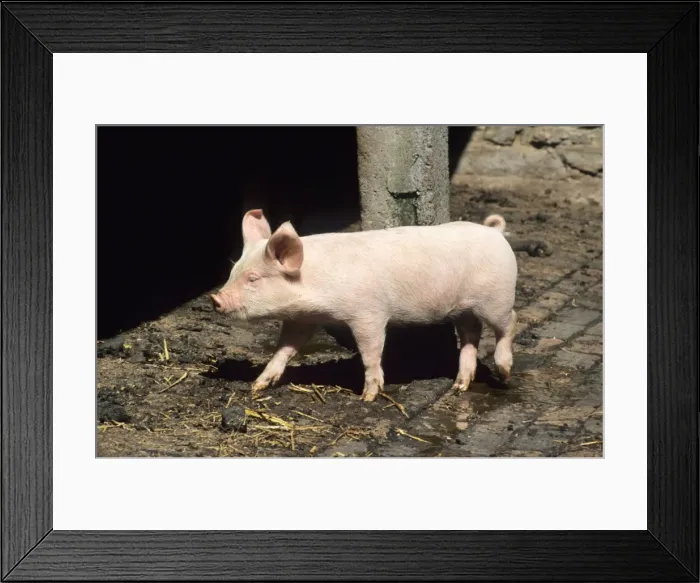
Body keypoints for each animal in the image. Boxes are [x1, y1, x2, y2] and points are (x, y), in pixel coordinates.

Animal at [210, 210, 518, 402]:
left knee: (509, 323)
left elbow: (370, 352)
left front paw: (367, 397)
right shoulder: (303, 318)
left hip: (497, 298)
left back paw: (504, 374)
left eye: (253, 278)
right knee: (470, 334)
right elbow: (285, 349)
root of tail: (495, 232)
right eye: (233, 271)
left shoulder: (368, 313)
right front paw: (258, 385)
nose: (215, 298)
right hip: (462, 308)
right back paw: (459, 386)